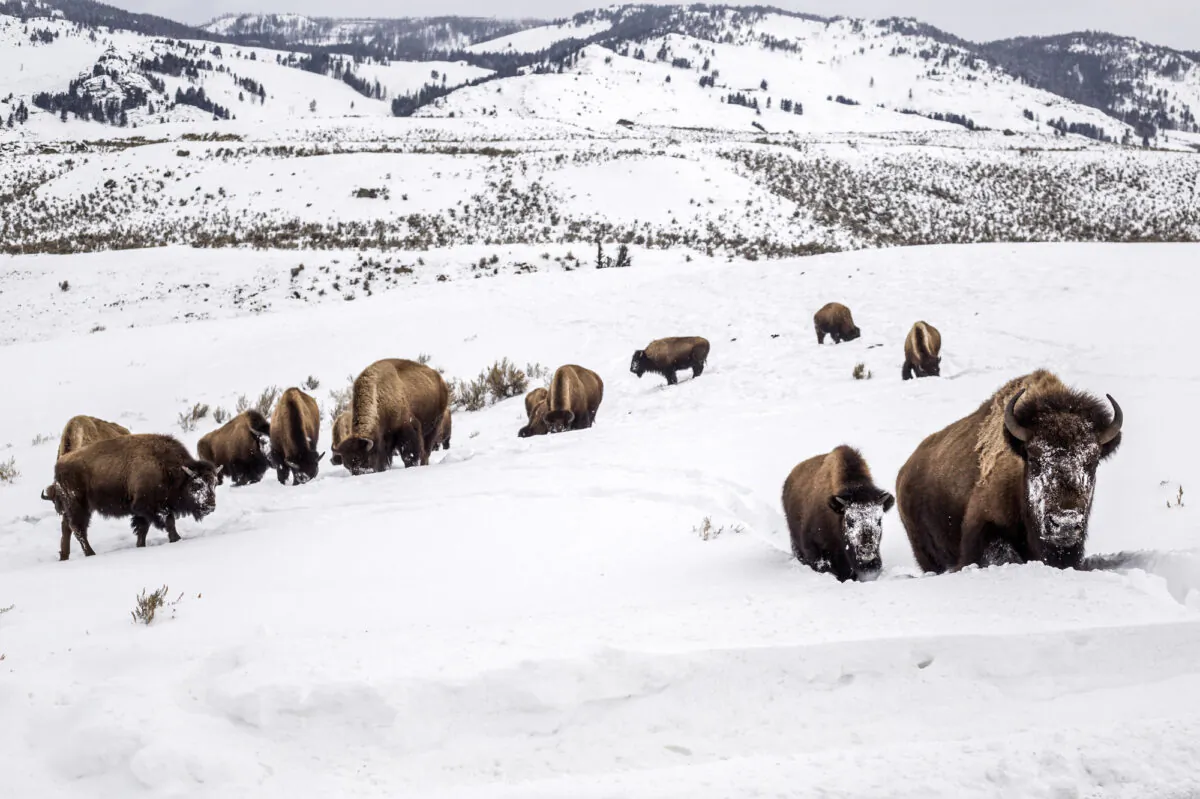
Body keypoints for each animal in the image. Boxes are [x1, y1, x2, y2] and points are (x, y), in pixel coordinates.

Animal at [49, 434, 221, 561]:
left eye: (214, 484)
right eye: (197, 485)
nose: (210, 506)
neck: (167, 468)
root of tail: (60, 463)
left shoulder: (145, 510)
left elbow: (143, 528)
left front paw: (141, 545)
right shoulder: (148, 506)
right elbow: (168, 521)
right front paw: (176, 539)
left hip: (72, 508)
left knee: (67, 528)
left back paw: (64, 556)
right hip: (79, 505)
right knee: (78, 529)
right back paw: (90, 554)